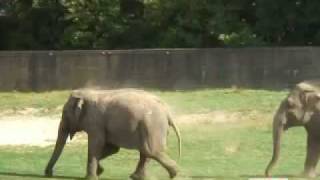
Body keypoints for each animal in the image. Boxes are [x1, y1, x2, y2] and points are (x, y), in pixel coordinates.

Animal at [44, 89, 182, 180]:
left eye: (64, 113)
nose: (48, 174)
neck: (87, 93)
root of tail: (167, 111)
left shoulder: (96, 121)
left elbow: (96, 145)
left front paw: (91, 177)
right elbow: (112, 148)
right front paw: (100, 171)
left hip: (152, 126)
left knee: (151, 151)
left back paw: (175, 174)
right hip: (151, 127)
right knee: (146, 152)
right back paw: (137, 177)